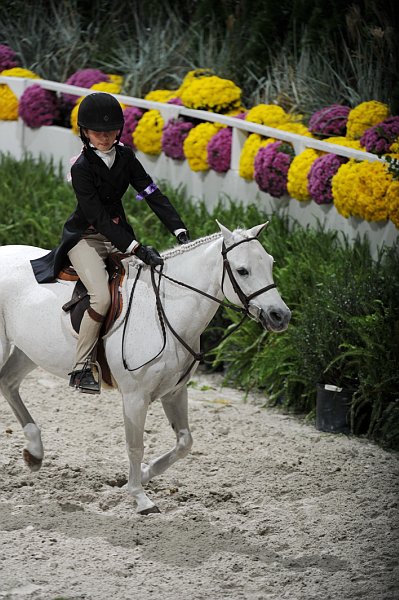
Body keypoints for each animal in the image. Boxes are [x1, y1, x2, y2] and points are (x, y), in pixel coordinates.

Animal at [0, 223, 290, 512]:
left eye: (270, 262)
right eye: (242, 270)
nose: (281, 316)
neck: (166, 308)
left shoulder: (174, 392)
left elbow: (184, 442)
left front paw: (142, 474)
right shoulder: (135, 397)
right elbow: (135, 446)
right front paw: (140, 497)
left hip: (30, 351)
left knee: (8, 382)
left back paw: (34, 453)